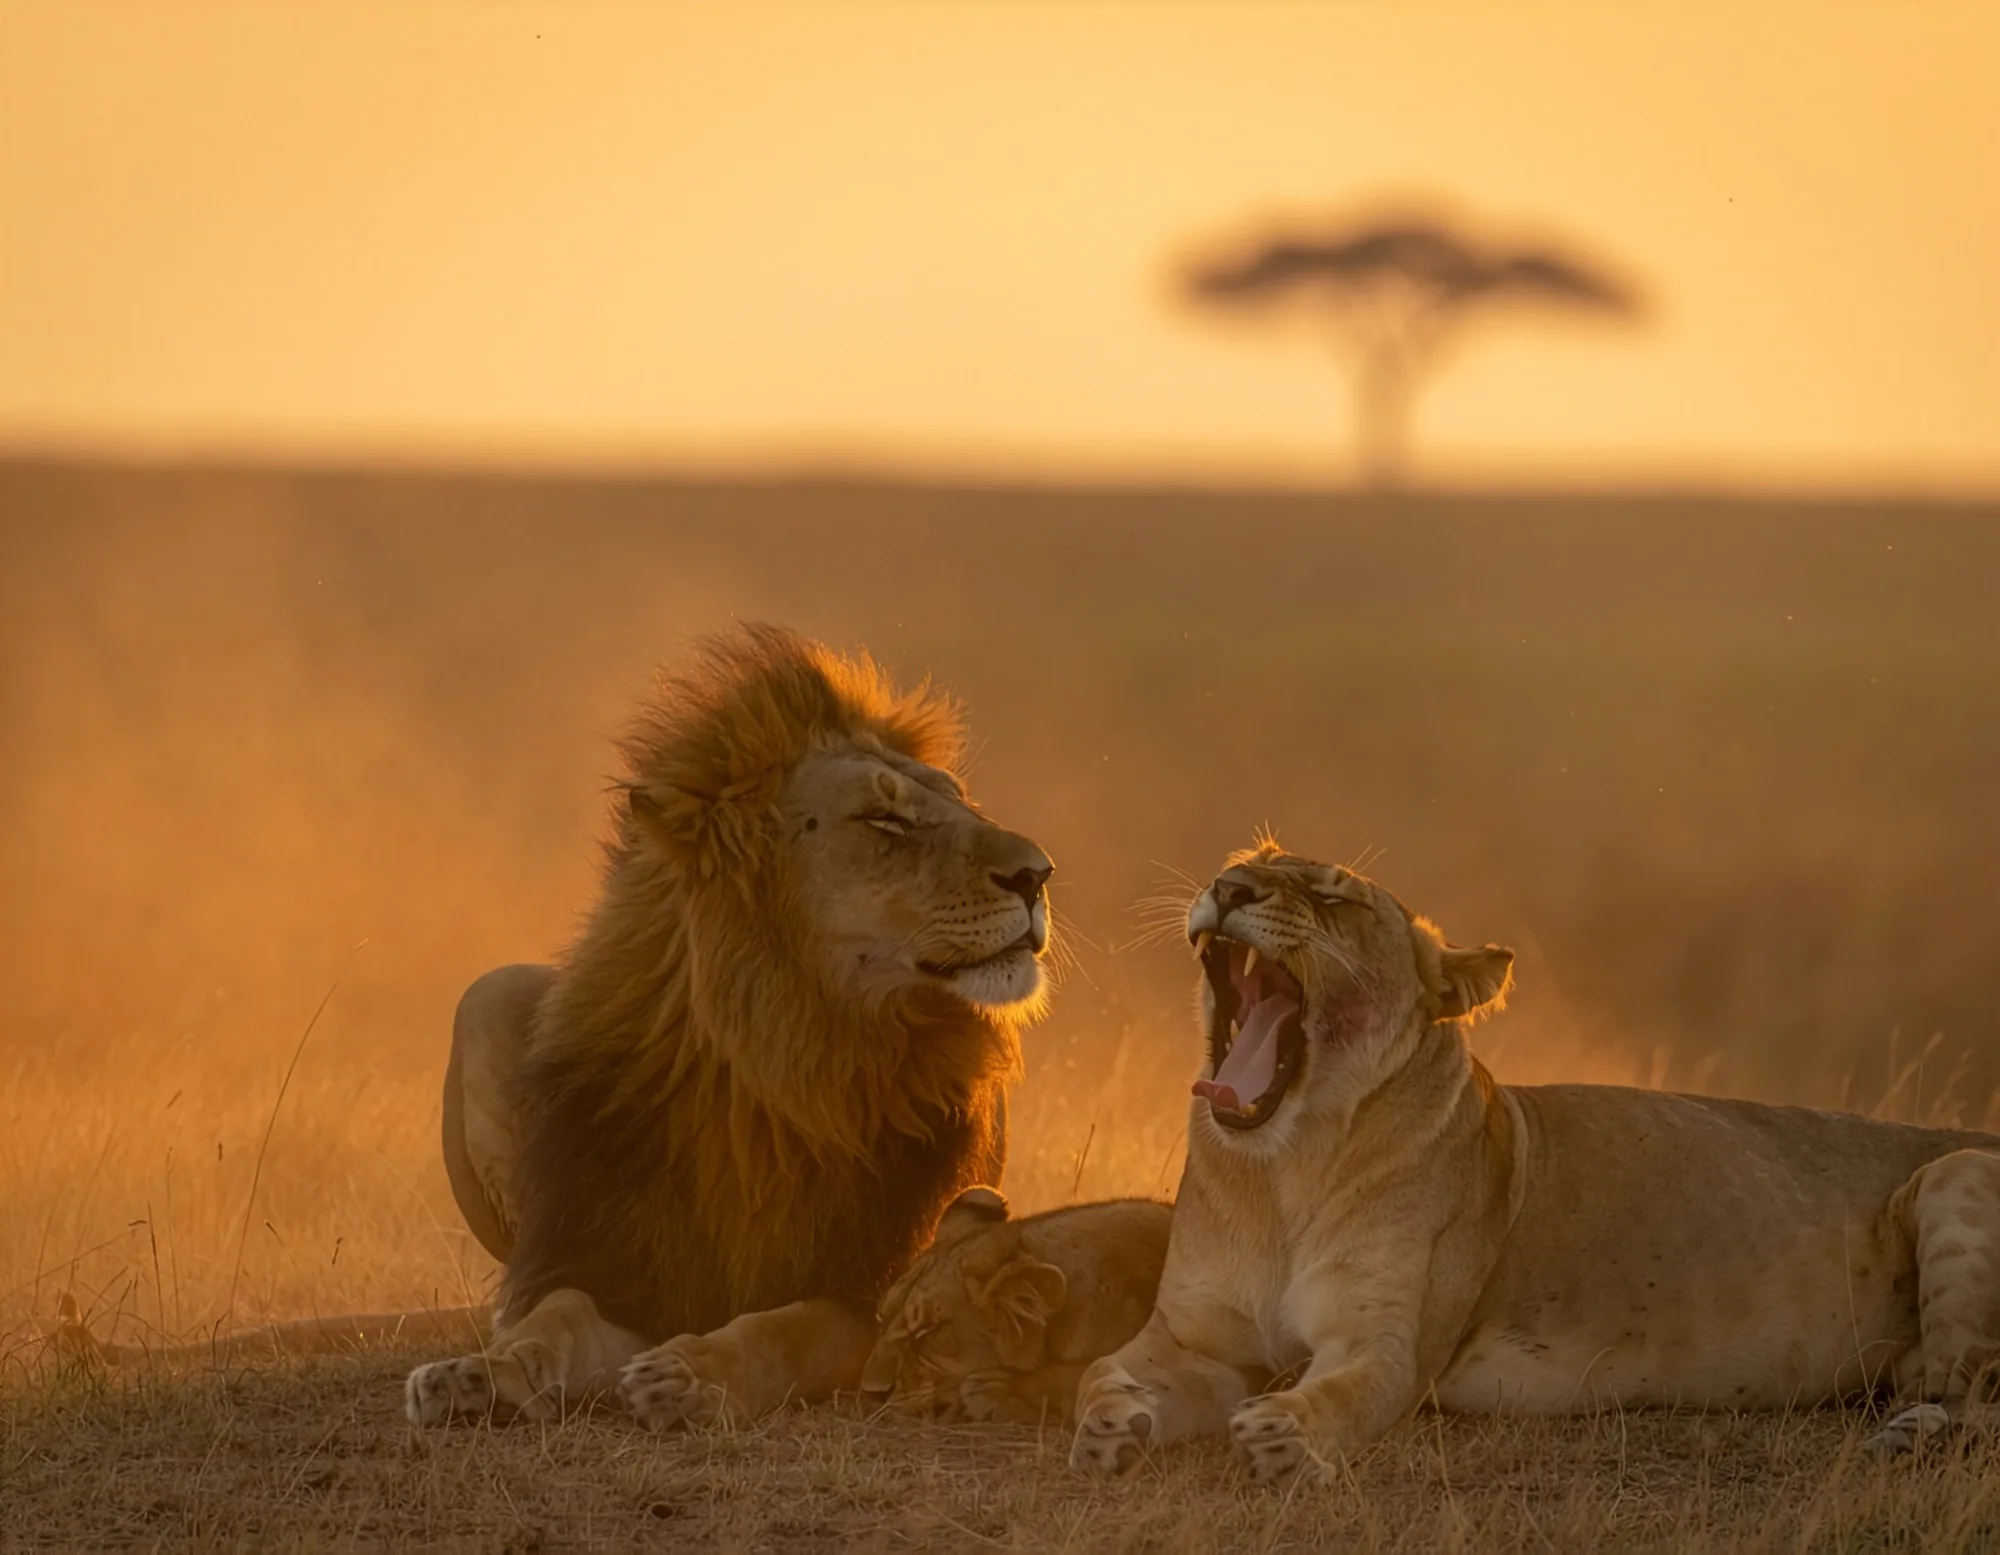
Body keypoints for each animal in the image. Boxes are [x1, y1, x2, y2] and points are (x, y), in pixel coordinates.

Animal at [402, 623, 1057, 1428]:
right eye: (884, 819)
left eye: (963, 803)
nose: (1038, 874)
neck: (788, 1056)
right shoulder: (625, 1264)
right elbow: (556, 1314)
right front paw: (475, 1374)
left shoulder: (881, 1282)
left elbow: (787, 1326)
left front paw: (688, 1373)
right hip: (485, 995)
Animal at [1071, 839, 2000, 1483]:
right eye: (1244, 861)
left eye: (1333, 895)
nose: (1228, 887)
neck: (1283, 1167)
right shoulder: (1196, 1336)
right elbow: (1099, 1366)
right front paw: (1111, 1422)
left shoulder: (1386, 1345)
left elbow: (1343, 1392)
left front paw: (1284, 1436)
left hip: (1955, 1175)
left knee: (1980, 1399)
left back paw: (1909, 1434)